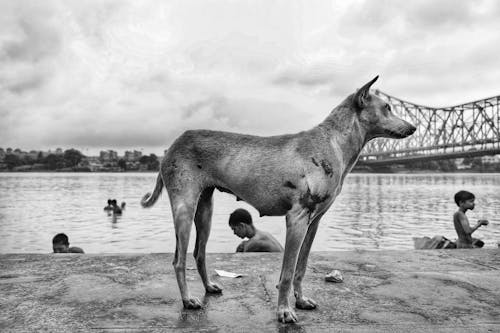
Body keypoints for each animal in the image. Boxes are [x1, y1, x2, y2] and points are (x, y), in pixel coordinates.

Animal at [142, 76, 418, 322]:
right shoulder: (296, 218)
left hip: (204, 211)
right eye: (387, 107)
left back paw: (209, 286)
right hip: (184, 208)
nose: (413, 128)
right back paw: (188, 300)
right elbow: (287, 272)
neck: (333, 143)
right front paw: (284, 312)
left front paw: (301, 300)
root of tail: (173, 144)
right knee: (178, 260)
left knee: (199, 253)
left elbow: (300, 267)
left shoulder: (313, 222)